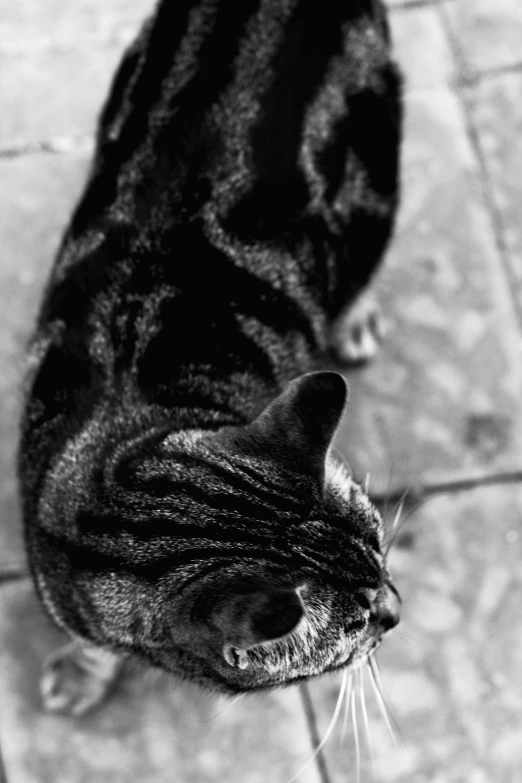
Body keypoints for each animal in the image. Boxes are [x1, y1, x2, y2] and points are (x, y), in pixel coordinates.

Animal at [18, 0, 402, 716]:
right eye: (357, 625)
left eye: (383, 555)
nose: (396, 606)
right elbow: (89, 636)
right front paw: (86, 668)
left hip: (373, 179)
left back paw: (354, 314)